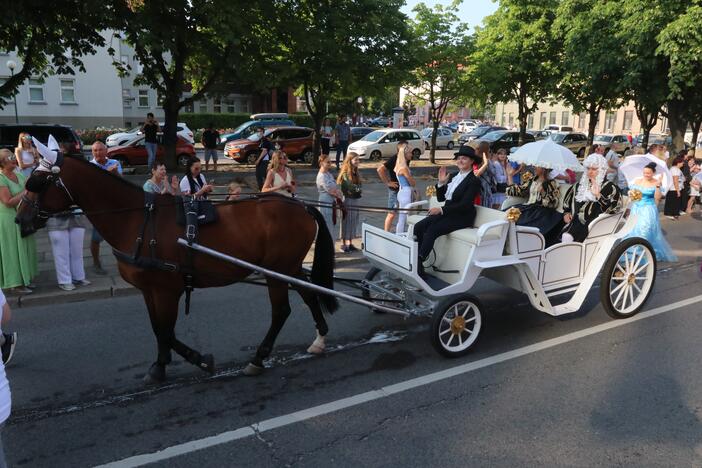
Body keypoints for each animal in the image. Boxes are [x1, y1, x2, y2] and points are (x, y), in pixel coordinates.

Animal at [13, 137, 338, 382]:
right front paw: (162, 364)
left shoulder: (167, 289)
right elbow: (158, 329)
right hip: (289, 267)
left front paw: (198, 359)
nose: (19, 219)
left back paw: (259, 357)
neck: (137, 219)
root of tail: (301, 206)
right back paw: (320, 338)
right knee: (310, 294)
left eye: (39, 180)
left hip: (275, 269)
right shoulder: (149, 289)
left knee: (281, 310)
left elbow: (167, 330)